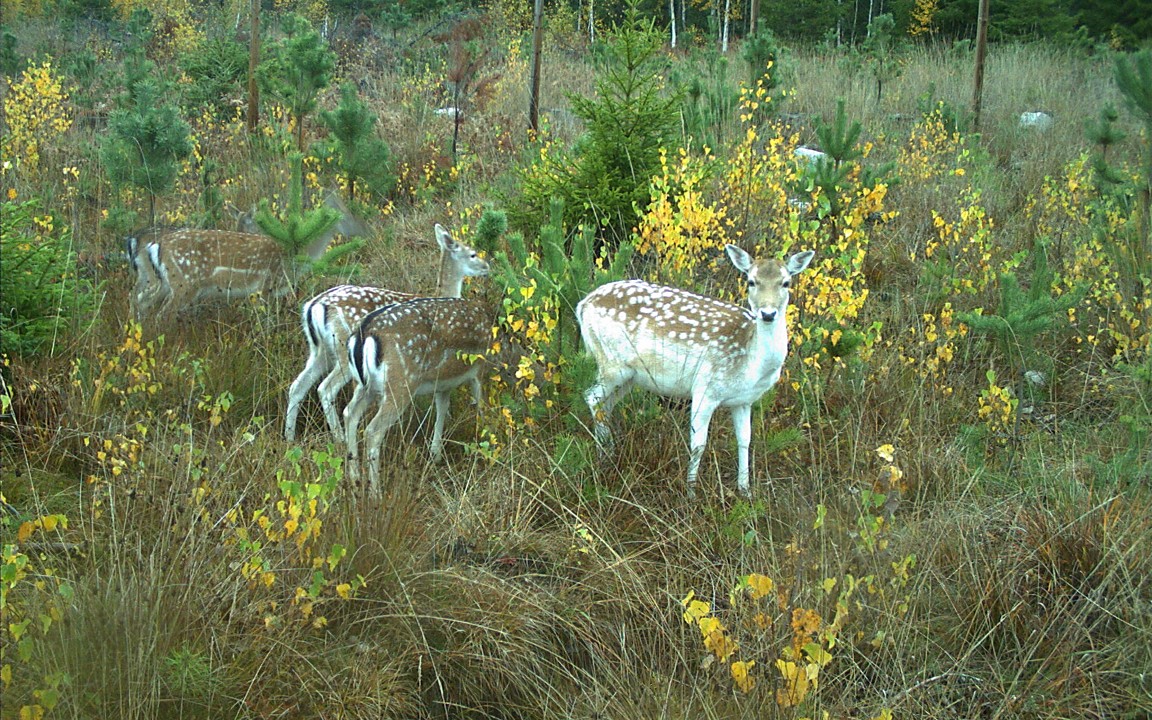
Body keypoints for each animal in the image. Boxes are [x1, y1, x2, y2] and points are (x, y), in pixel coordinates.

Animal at [127, 191, 367, 324]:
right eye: (344, 213)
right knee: (160, 312)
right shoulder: (266, 285)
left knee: (139, 299)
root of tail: (157, 244)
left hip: (161, 281)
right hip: (184, 283)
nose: (363, 229)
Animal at [283, 224, 490, 442]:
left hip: (319, 350)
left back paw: (289, 436)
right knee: (326, 388)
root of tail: (314, 305)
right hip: (341, 349)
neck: (442, 296)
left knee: (298, 386)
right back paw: (339, 438)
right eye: (473, 254)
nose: (487, 267)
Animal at [342, 297, 494, 494]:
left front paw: (436, 455)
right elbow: (484, 408)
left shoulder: (443, 384)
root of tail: (363, 335)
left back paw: (354, 480)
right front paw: (491, 450)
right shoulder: (480, 371)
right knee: (373, 430)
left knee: (349, 413)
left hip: (365, 386)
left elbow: (442, 408)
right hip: (400, 384)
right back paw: (376, 492)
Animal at [576, 244, 815, 498]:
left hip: (630, 376)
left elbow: (745, 440)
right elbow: (699, 444)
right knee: (592, 397)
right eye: (751, 281)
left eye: (786, 282)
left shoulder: (744, 400)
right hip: (611, 363)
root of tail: (583, 304)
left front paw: (745, 490)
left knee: (606, 405)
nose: (768, 314)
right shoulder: (705, 388)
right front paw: (691, 492)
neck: (751, 362)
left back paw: (609, 453)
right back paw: (603, 459)